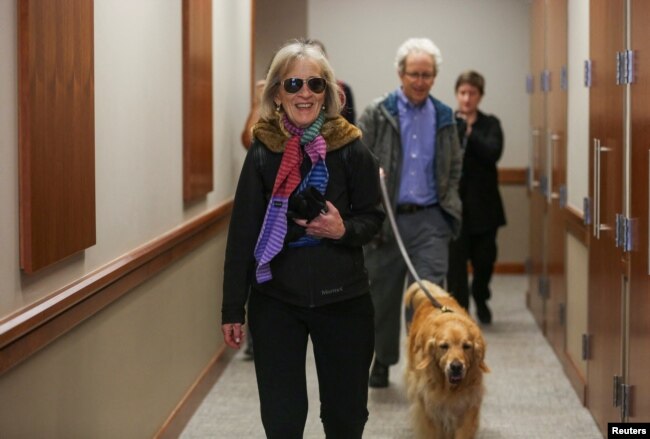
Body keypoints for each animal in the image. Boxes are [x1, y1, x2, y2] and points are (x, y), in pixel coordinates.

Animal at [402, 280, 488, 438]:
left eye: (467, 346)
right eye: (444, 346)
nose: (456, 366)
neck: (449, 389)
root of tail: (436, 297)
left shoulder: (468, 406)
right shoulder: (428, 409)